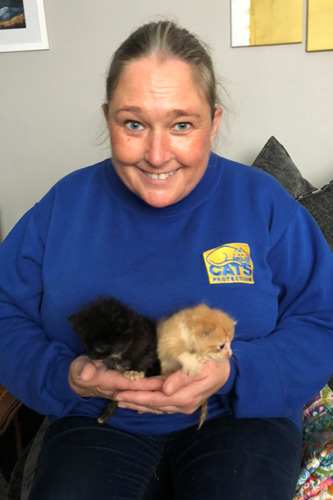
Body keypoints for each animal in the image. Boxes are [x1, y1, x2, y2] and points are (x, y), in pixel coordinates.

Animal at [68, 294, 160, 424]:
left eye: (100, 347)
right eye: (85, 344)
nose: (91, 357)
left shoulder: (148, 344)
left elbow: (144, 358)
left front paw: (134, 371)